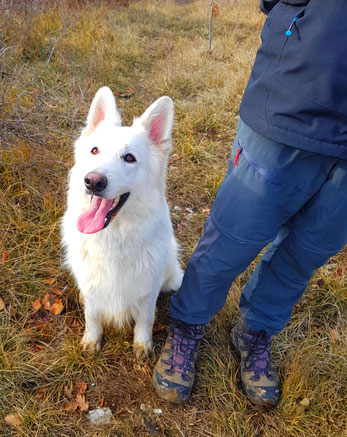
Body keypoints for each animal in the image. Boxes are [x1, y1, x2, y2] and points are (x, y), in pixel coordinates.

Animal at [62, 87, 184, 356]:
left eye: (129, 157)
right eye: (94, 150)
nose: (93, 181)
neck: (113, 238)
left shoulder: (148, 290)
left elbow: (145, 320)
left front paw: (142, 345)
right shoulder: (90, 285)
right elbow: (92, 315)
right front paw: (92, 340)